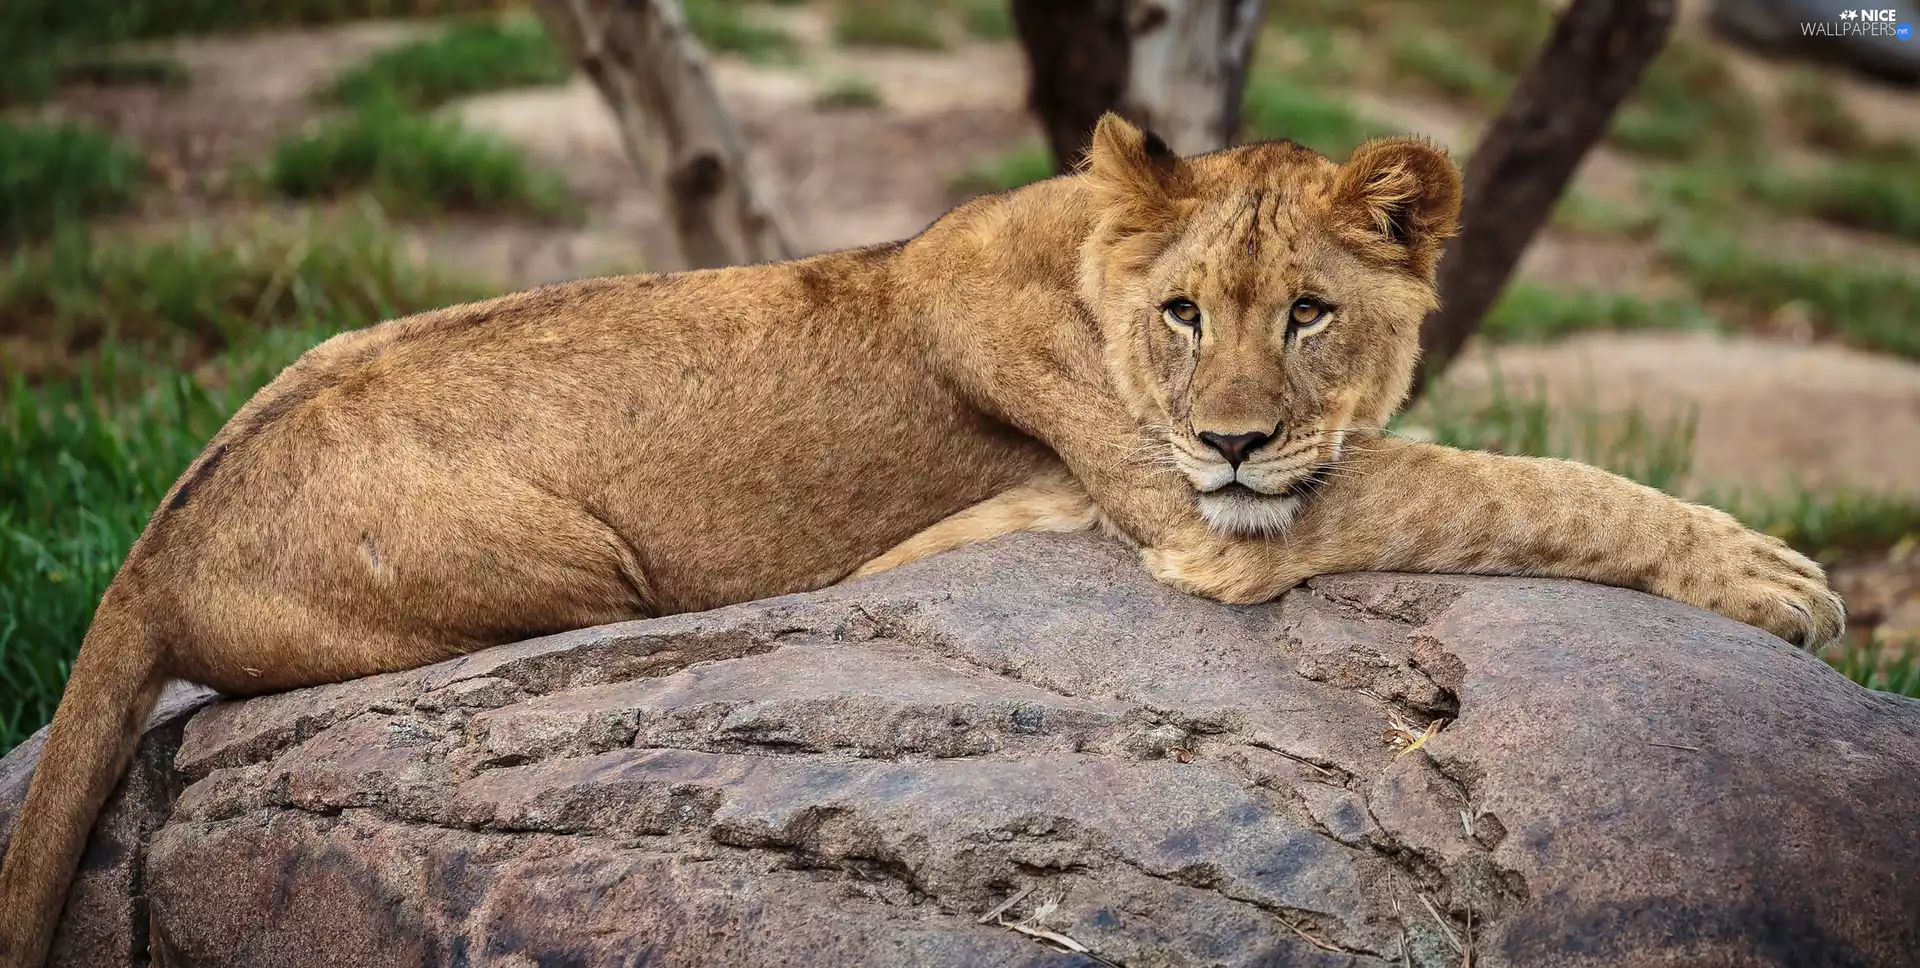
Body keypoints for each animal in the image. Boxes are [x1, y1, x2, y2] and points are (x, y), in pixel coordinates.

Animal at [0, 113, 1843, 966]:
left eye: (1309, 312)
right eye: (1187, 315)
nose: (1236, 430)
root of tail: (146, 546)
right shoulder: (1205, 523)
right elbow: (1510, 480)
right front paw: (1777, 577)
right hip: (578, 568)